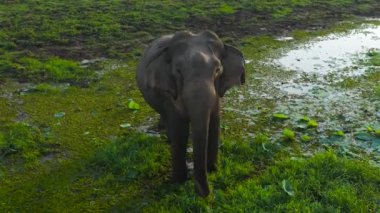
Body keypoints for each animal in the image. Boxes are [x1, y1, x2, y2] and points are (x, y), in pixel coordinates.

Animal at [135, 30, 245, 196]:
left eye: (217, 70)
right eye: (178, 71)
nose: (205, 193)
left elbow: (214, 125)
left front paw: (212, 169)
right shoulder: (170, 93)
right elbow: (180, 130)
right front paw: (178, 181)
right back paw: (167, 136)